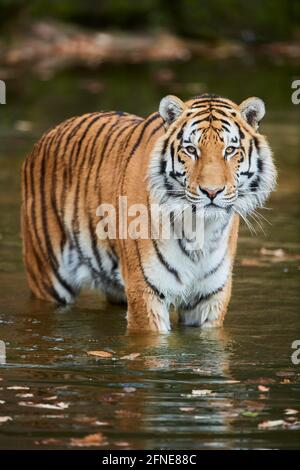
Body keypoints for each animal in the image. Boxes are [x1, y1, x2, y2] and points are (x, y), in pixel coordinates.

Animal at [21, 93, 276, 332]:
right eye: (191, 150)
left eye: (230, 150)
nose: (211, 191)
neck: (199, 228)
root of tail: (48, 134)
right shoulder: (145, 290)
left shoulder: (210, 297)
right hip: (47, 276)